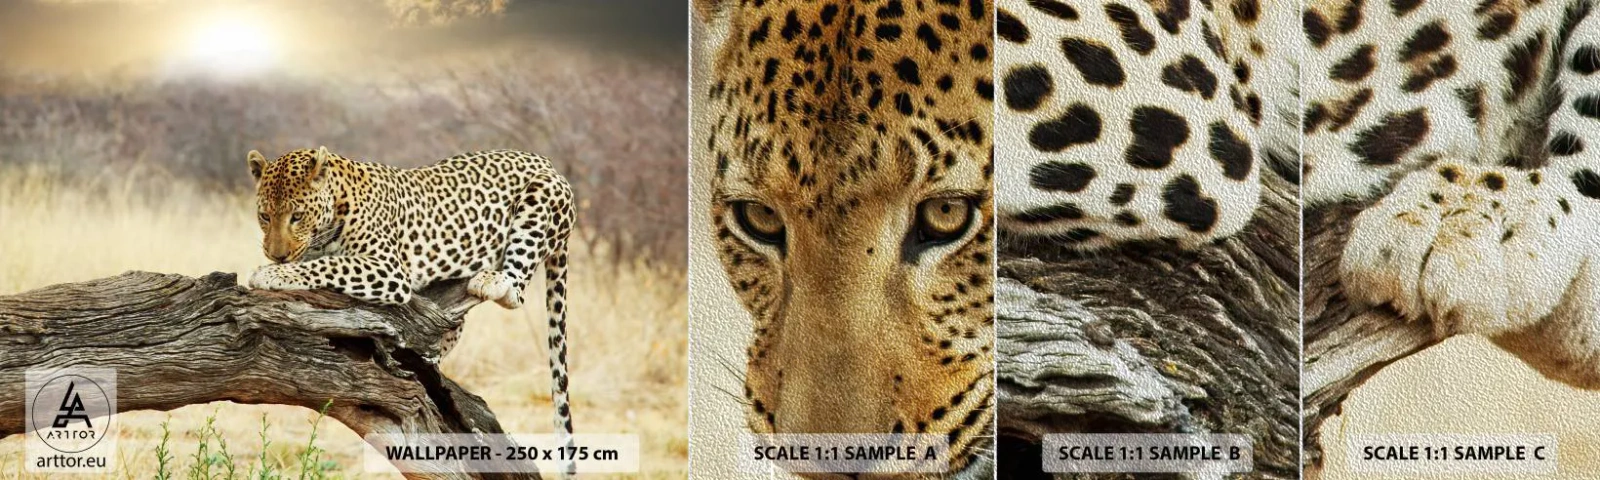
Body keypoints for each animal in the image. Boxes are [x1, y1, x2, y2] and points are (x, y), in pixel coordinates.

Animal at [244, 146, 577, 477]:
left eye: (297, 217)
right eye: (264, 216)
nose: (276, 255)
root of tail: (546, 162)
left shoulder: (388, 268)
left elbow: (329, 264)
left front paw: (271, 274)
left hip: (539, 199)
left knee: (516, 290)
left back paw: (492, 281)